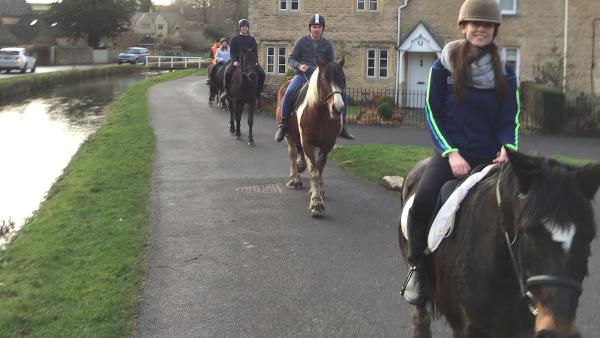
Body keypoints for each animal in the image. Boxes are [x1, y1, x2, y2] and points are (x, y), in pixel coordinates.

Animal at [276, 57, 346, 217]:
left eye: (342, 79)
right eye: (324, 79)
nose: (338, 108)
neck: (321, 114)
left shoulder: (327, 145)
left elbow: (319, 169)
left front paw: (319, 191)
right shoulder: (308, 143)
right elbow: (313, 171)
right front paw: (316, 203)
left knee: (298, 154)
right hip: (289, 136)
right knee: (292, 153)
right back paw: (294, 179)